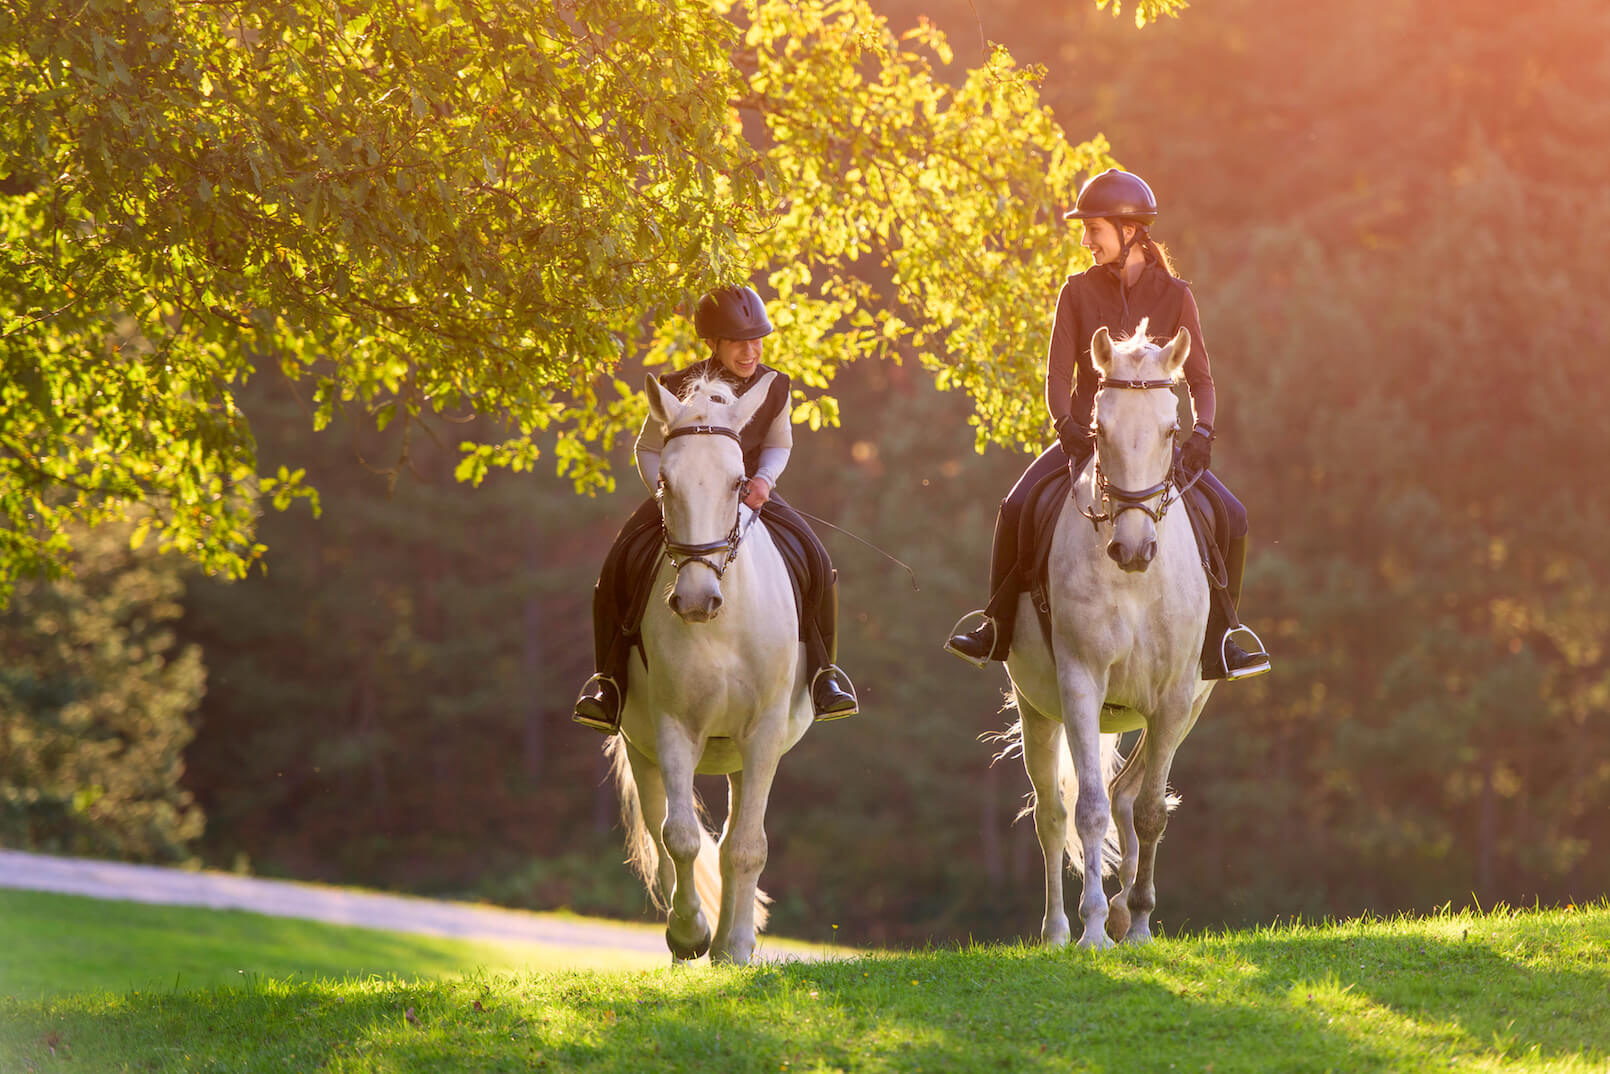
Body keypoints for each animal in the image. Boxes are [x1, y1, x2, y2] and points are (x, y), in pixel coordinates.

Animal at [998, 325, 1210, 946]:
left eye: (1172, 430)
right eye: (1099, 430)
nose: (1133, 549)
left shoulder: (1174, 699)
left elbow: (1149, 812)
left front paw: (1136, 922)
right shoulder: (1080, 686)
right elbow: (1087, 809)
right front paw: (1093, 928)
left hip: (1176, 713)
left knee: (1128, 795)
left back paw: (1122, 911)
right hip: (1038, 709)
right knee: (1052, 815)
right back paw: (1057, 931)